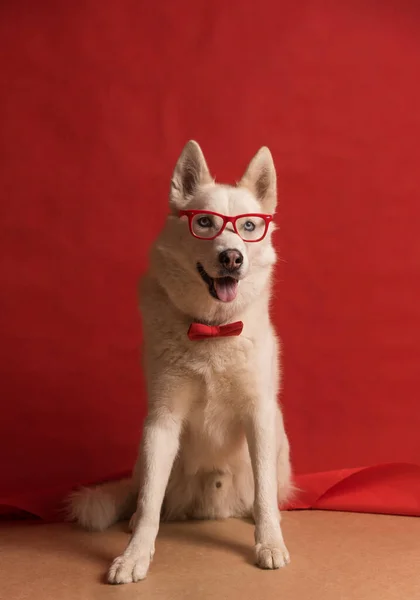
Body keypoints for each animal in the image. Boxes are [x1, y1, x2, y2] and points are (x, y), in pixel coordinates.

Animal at [69, 141, 292, 580]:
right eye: (204, 223)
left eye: (248, 227)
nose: (232, 258)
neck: (212, 330)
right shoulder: (162, 420)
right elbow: (150, 504)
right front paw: (135, 555)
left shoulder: (259, 414)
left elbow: (264, 496)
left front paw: (270, 542)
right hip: (145, 453)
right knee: (143, 495)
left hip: (279, 432)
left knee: (263, 492)